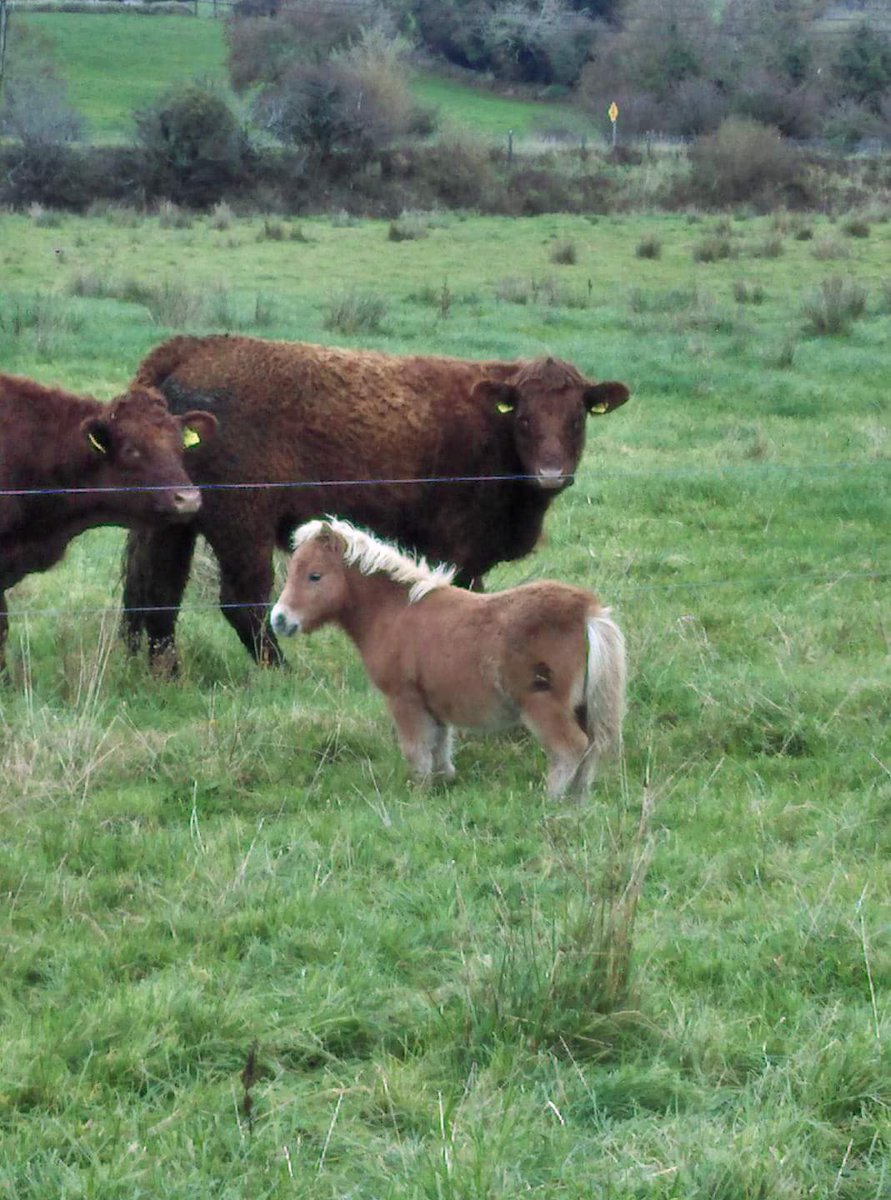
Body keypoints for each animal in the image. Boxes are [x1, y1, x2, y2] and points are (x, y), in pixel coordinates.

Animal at [270, 519, 626, 798]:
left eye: (315, 576)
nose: (279, 620)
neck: (395, 613)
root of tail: (587, 611)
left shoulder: (404, 698)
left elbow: (416, 749)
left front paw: (418, 793)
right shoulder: (433, 701)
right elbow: (439, 746)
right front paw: (442, 784)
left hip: (543, 705)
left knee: (571, 747)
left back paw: (552, 799)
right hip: (582, 706)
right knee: (591, 747)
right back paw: (577, 800)